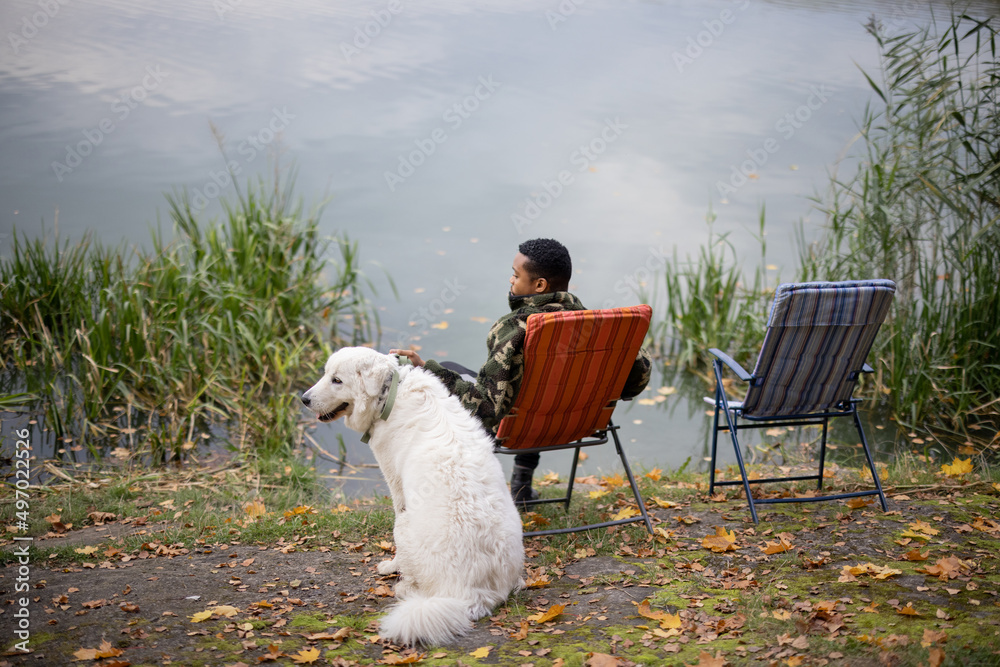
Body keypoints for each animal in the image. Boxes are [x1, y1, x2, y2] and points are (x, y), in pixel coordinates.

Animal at [300, 348, 524, 644]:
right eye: (326, 374)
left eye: (336, 380)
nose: (304, 399)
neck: (390, 394)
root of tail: (469, 594)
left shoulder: (396, 487)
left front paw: (390, 565)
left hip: (404, 527)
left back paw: (403, 587)